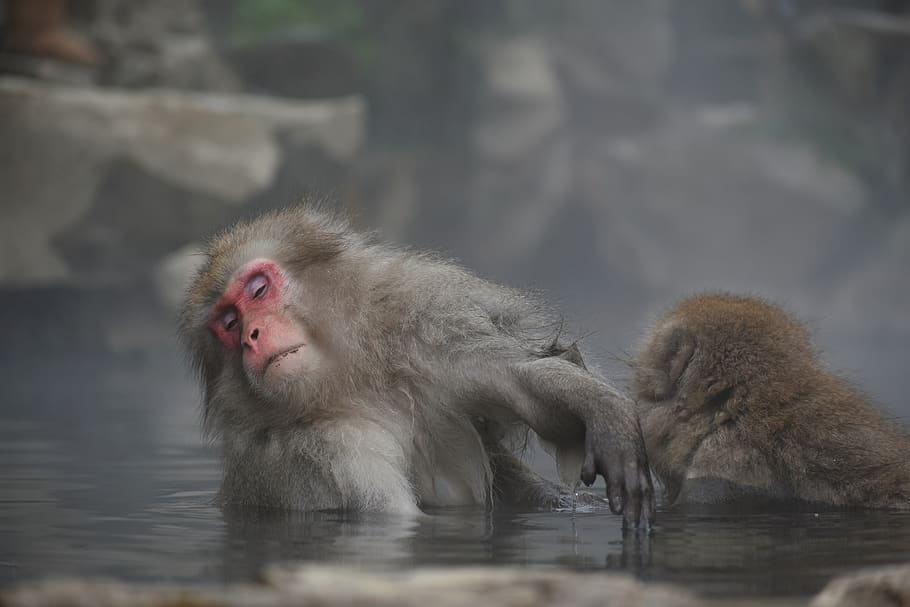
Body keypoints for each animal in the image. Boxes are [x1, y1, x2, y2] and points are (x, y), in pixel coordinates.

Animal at [180, 205, 656, 528]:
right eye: (228, 324)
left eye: (258, 289)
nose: (251, 336)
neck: (348, 381)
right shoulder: (316, 449)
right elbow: (391, 515)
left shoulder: (422, 329)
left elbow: (519, 382)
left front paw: (606, 416)